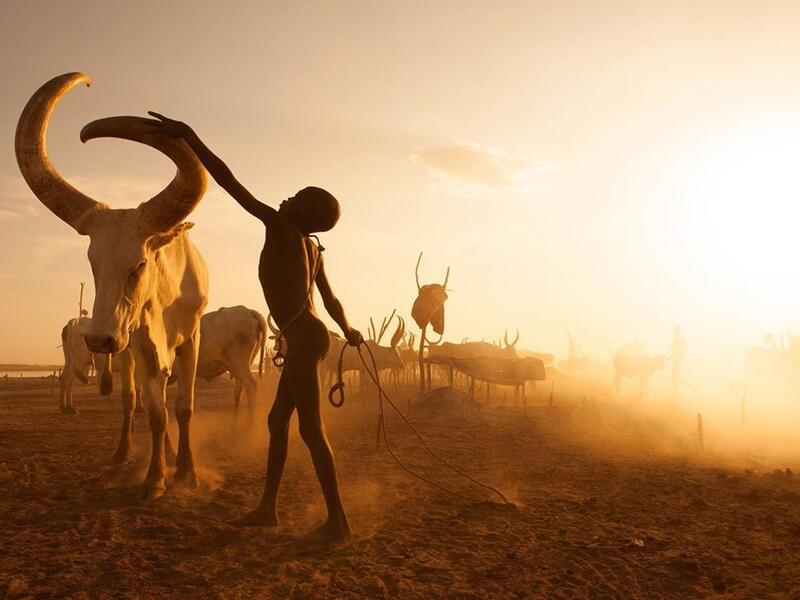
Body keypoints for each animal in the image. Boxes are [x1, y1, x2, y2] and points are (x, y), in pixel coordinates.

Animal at [16, 73, 209, 500]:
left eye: (139, 263)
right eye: (93, 262)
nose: (100, 339)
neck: (167, 300)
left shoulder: (192, 336)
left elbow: (185, 408)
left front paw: (187, 471)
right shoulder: (142, 343)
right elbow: (154, 412)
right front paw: (155, 478)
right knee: (129, 400)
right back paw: (125, 455)